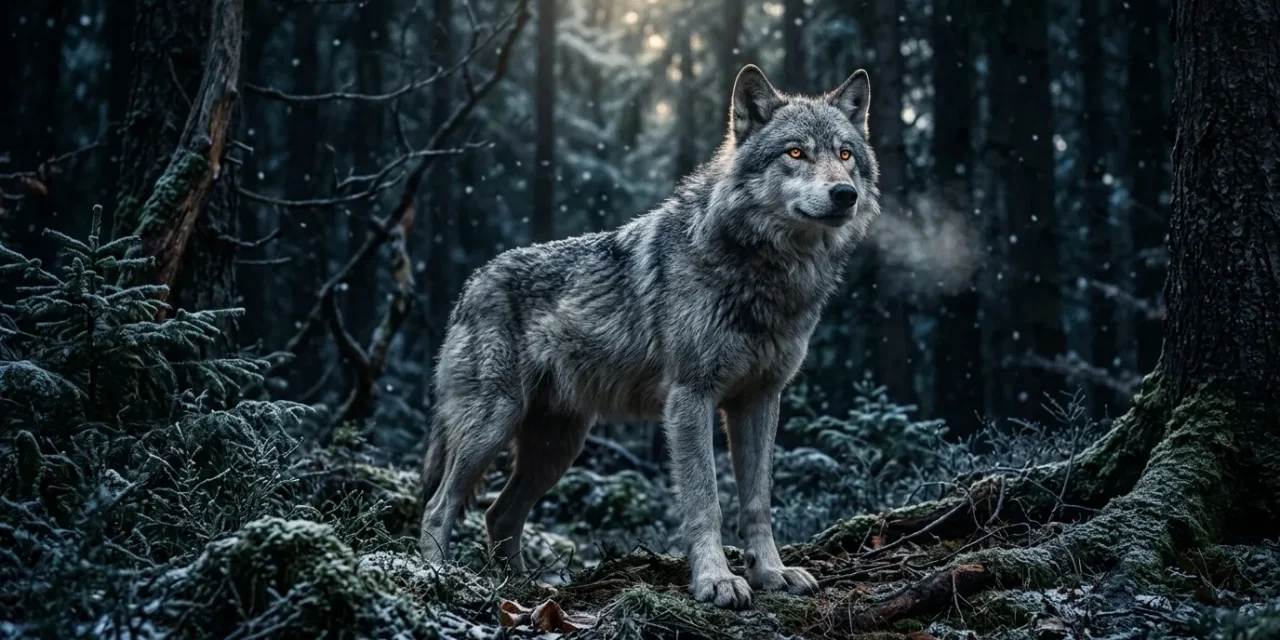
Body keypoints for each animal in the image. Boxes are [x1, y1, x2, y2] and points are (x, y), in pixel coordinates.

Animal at [418, 64, 880, 608]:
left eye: (845, 155)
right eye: (795, 153)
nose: (844, 194)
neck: (766, 272)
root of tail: (470, 284)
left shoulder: (761, 399)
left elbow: (758, 503)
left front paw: (772, 573)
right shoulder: (690, 398)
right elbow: (706, 501)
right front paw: (716, 580)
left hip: (558, 446)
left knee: (498, 513)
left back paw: (522, 588)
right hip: (493, 424)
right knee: (439, 505)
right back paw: (438, 577)